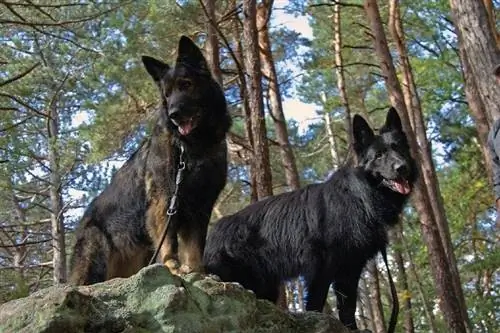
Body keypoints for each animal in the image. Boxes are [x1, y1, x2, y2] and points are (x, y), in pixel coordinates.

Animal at [69, 37, 231, 286]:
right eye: (167, 94)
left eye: (186, 84)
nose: (174, 114)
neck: (193, 146)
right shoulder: (165, 201)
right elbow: (169, 241)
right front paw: (173, 267)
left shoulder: (201, 206)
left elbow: (195, 246)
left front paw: (198, 272)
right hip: (97, 243)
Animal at [203, 108, 418, 330]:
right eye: (379, 155)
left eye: (399, 148)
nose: (402, 167)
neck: (360, 197)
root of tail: (213, 233)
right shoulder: (323, 268)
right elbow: (317, 302)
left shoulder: (350, 268)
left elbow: (348, 307)